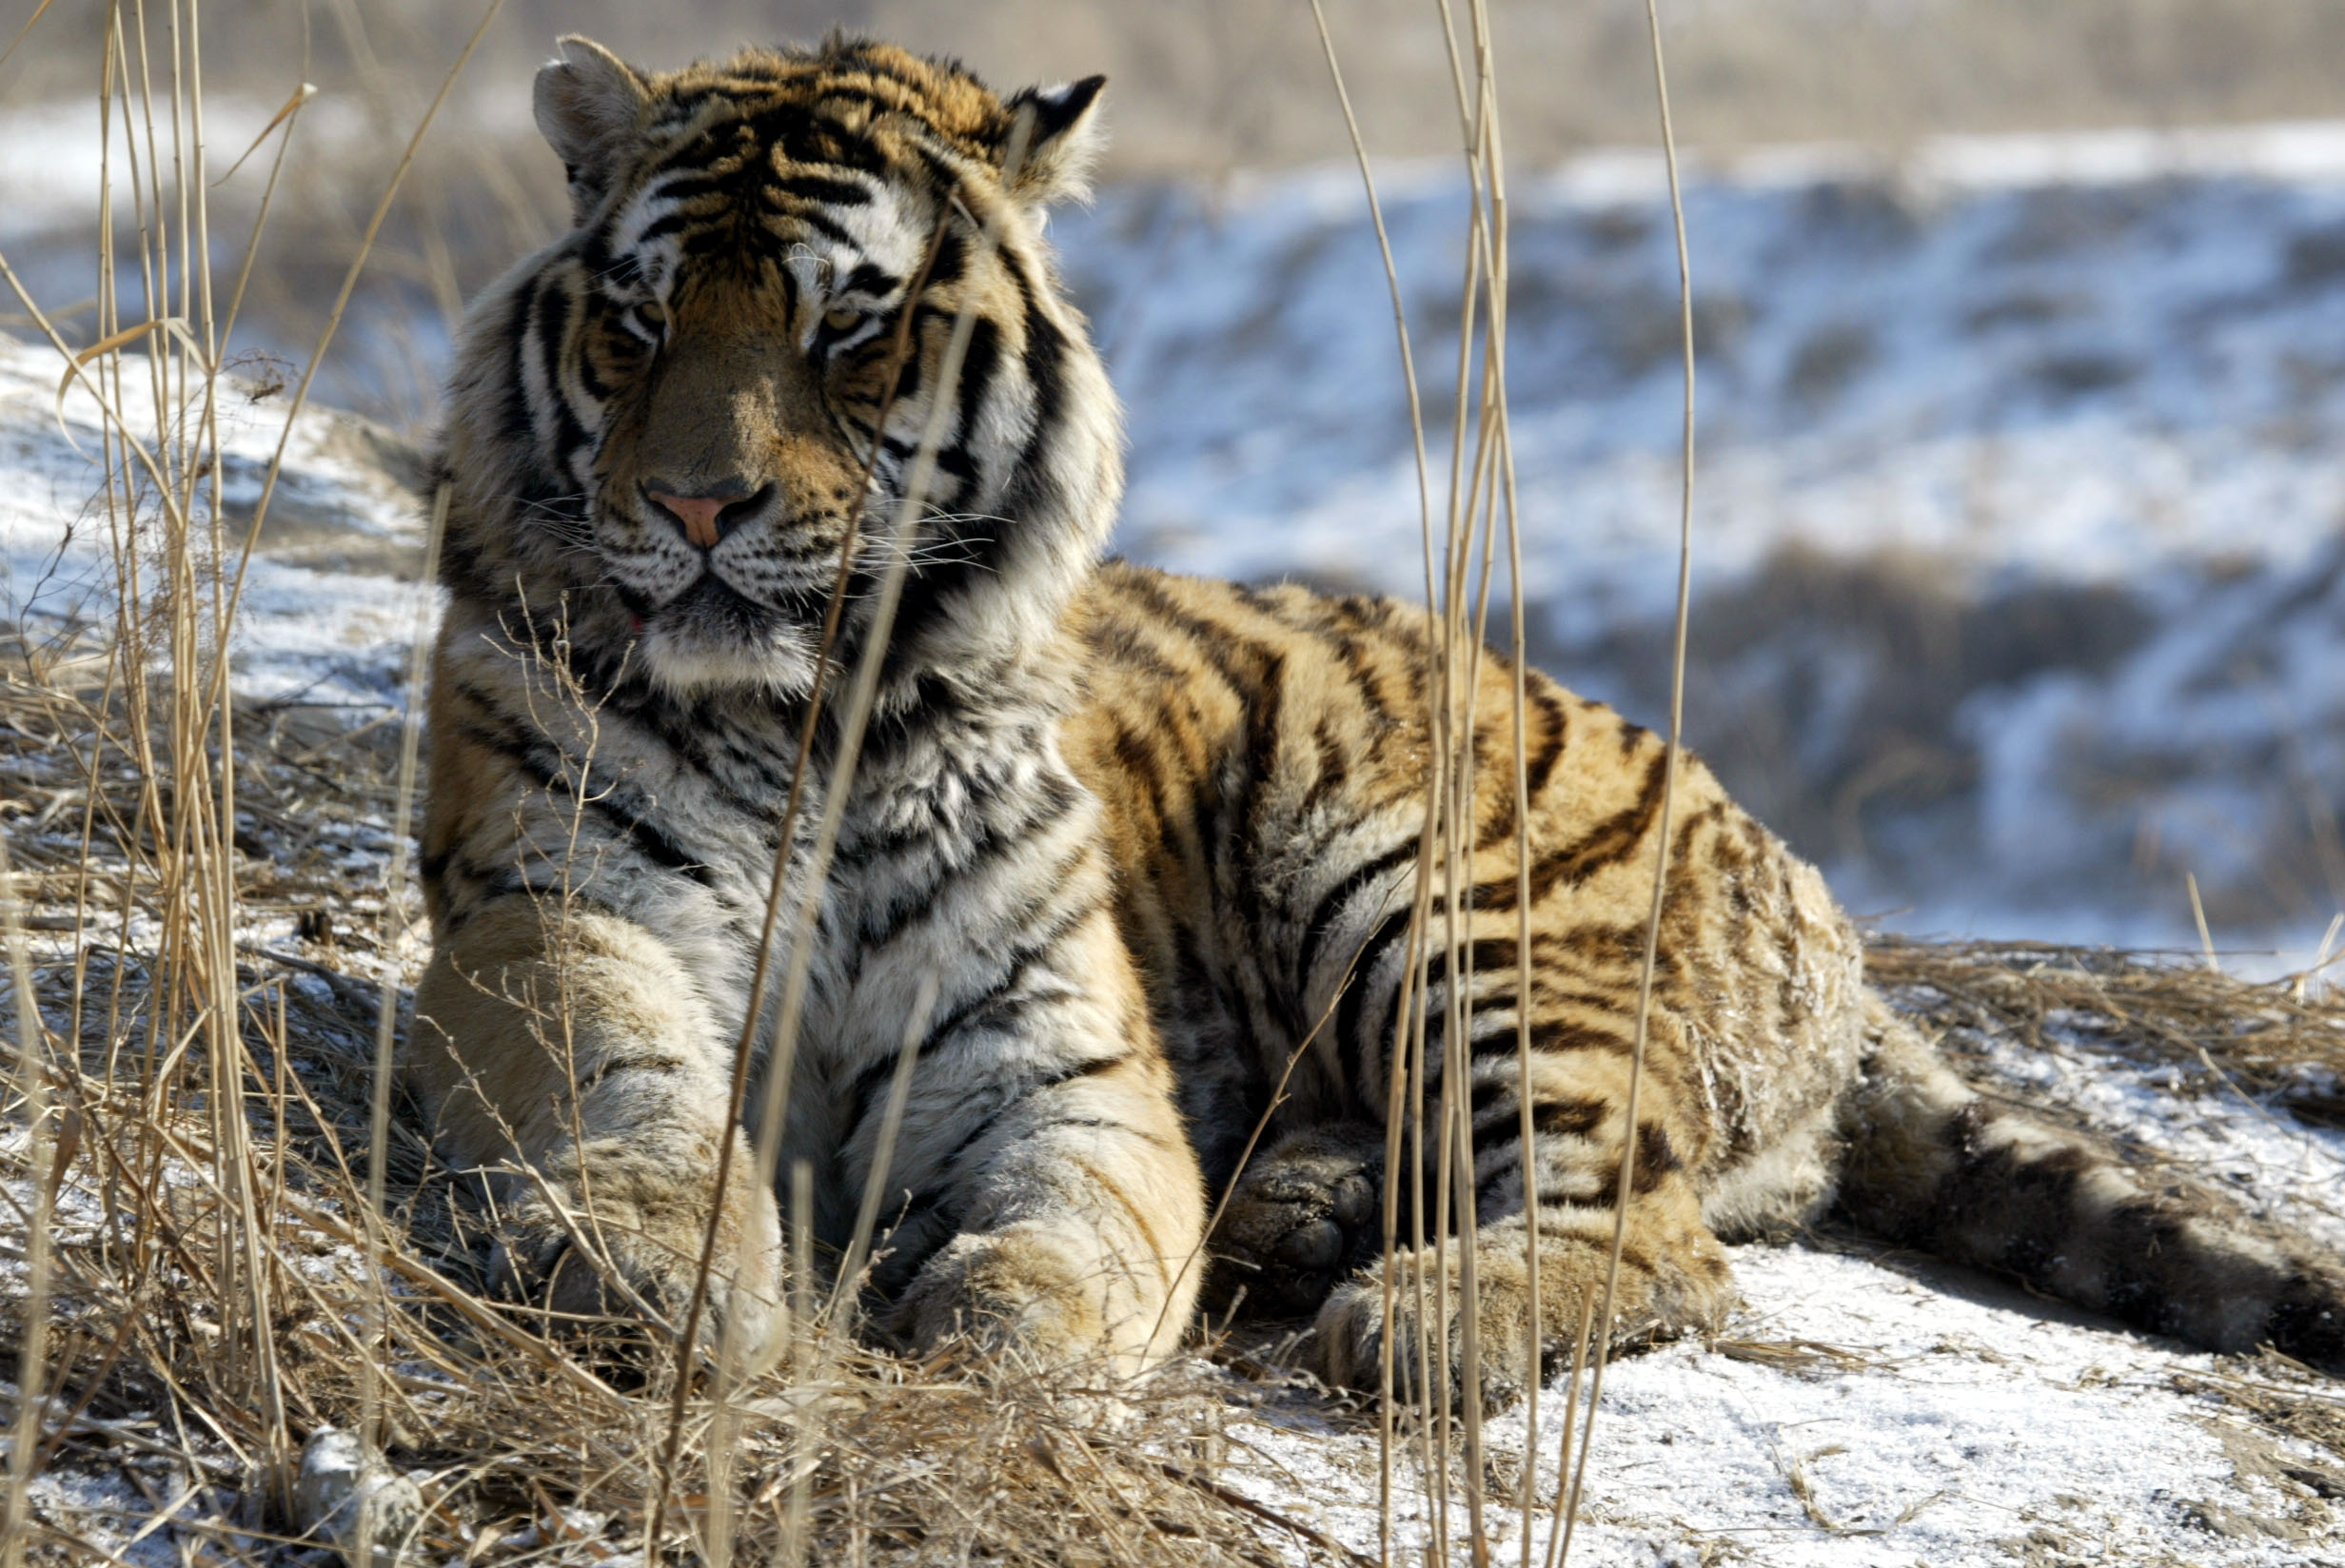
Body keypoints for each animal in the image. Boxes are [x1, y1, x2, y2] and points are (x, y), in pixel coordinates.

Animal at [407, 30, 2345, 1397]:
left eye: (852, 331)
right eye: (644, 319)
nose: (695, 508)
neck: (810, 713)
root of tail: (1825, 913)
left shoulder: (1051, 1040)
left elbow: (1088, 1211)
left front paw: (1011, 1329)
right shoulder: (553, 914)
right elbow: (617, 1091)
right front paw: (652, 1270)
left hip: (1438, 890)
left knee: (1658, 1228)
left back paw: (1412, 1311)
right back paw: (1307, 1205)